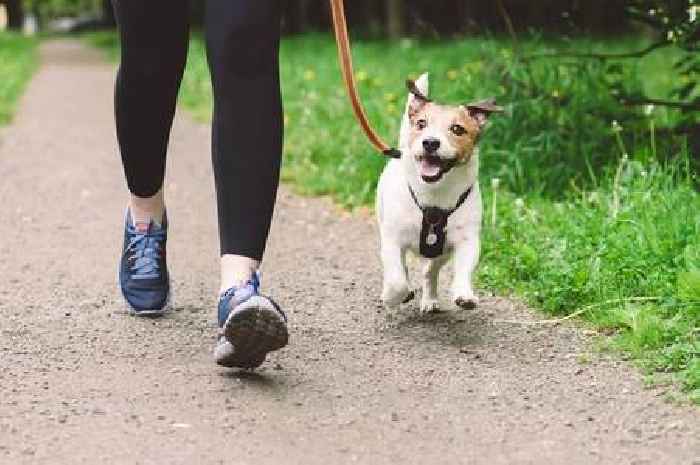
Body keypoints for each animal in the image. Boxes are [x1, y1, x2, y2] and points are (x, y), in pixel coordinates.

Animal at [374, 73, 500, 312]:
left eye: (457, 129)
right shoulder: (392, 239)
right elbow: (396, 280)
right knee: (403, 269)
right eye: (421, 124)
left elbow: (463, 269)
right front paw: (392, 297)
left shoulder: (467, 240)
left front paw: (464, 294)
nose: (430, 142)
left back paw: (430, 298)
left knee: (429, 271)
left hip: (442, 252)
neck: (434, 193)